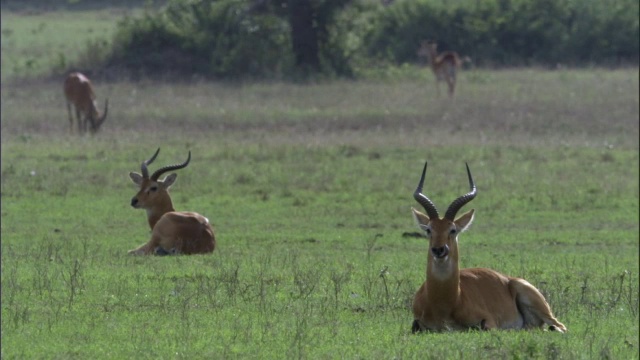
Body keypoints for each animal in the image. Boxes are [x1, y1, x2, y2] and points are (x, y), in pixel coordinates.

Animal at [410, 162, 564, 334]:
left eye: (453, 230)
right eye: (429, 230)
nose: (439, 250)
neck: (445, 302)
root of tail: (509, 279)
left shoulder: (489, 322)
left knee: (559, 326)